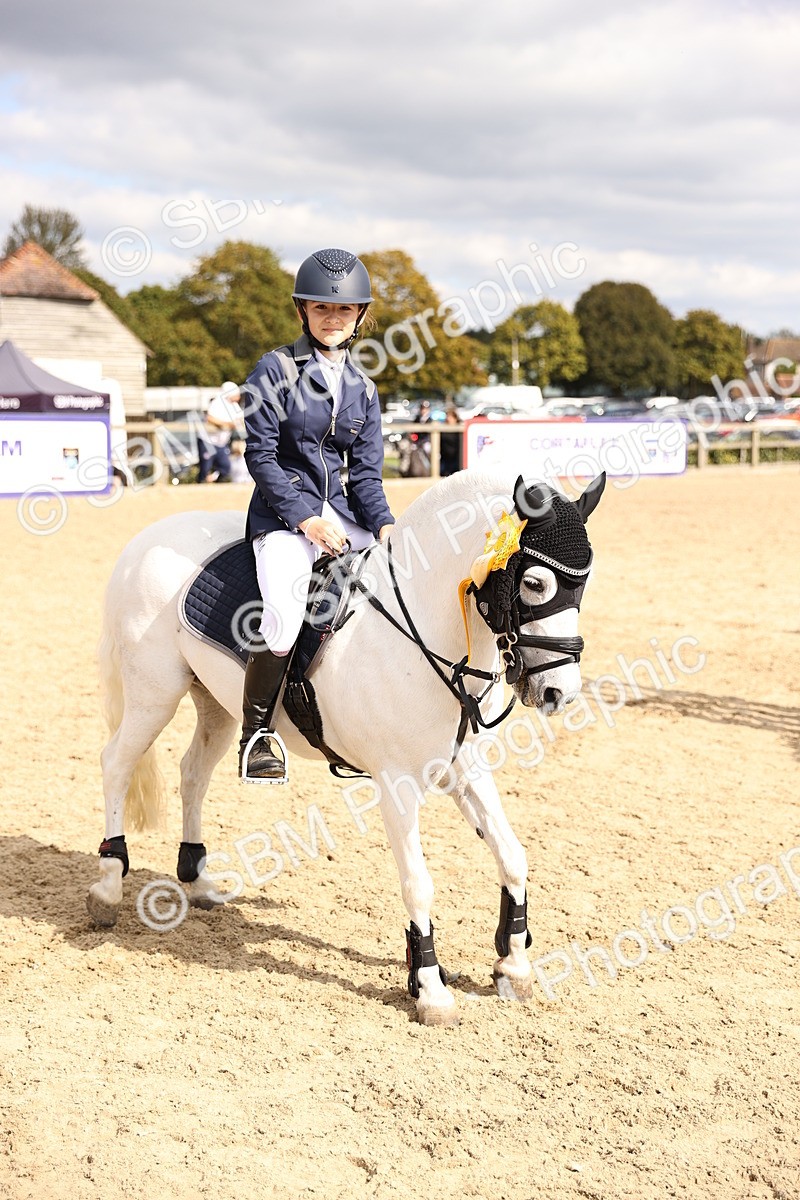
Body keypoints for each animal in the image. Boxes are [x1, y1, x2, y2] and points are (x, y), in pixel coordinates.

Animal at [87, 467, 605, 1025]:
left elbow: (512, 855)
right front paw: (431, 989)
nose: (559, 693)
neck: (422, 631)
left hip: (215, 705)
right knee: (116, 763)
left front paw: (513, 967)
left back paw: (198, 881)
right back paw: (108, 886)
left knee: (192, 773)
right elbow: (418, 883)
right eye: (534, 583)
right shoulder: (396, 783)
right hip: (154, 695)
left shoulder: (464, 768)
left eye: (583, 585)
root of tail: (145, 539)